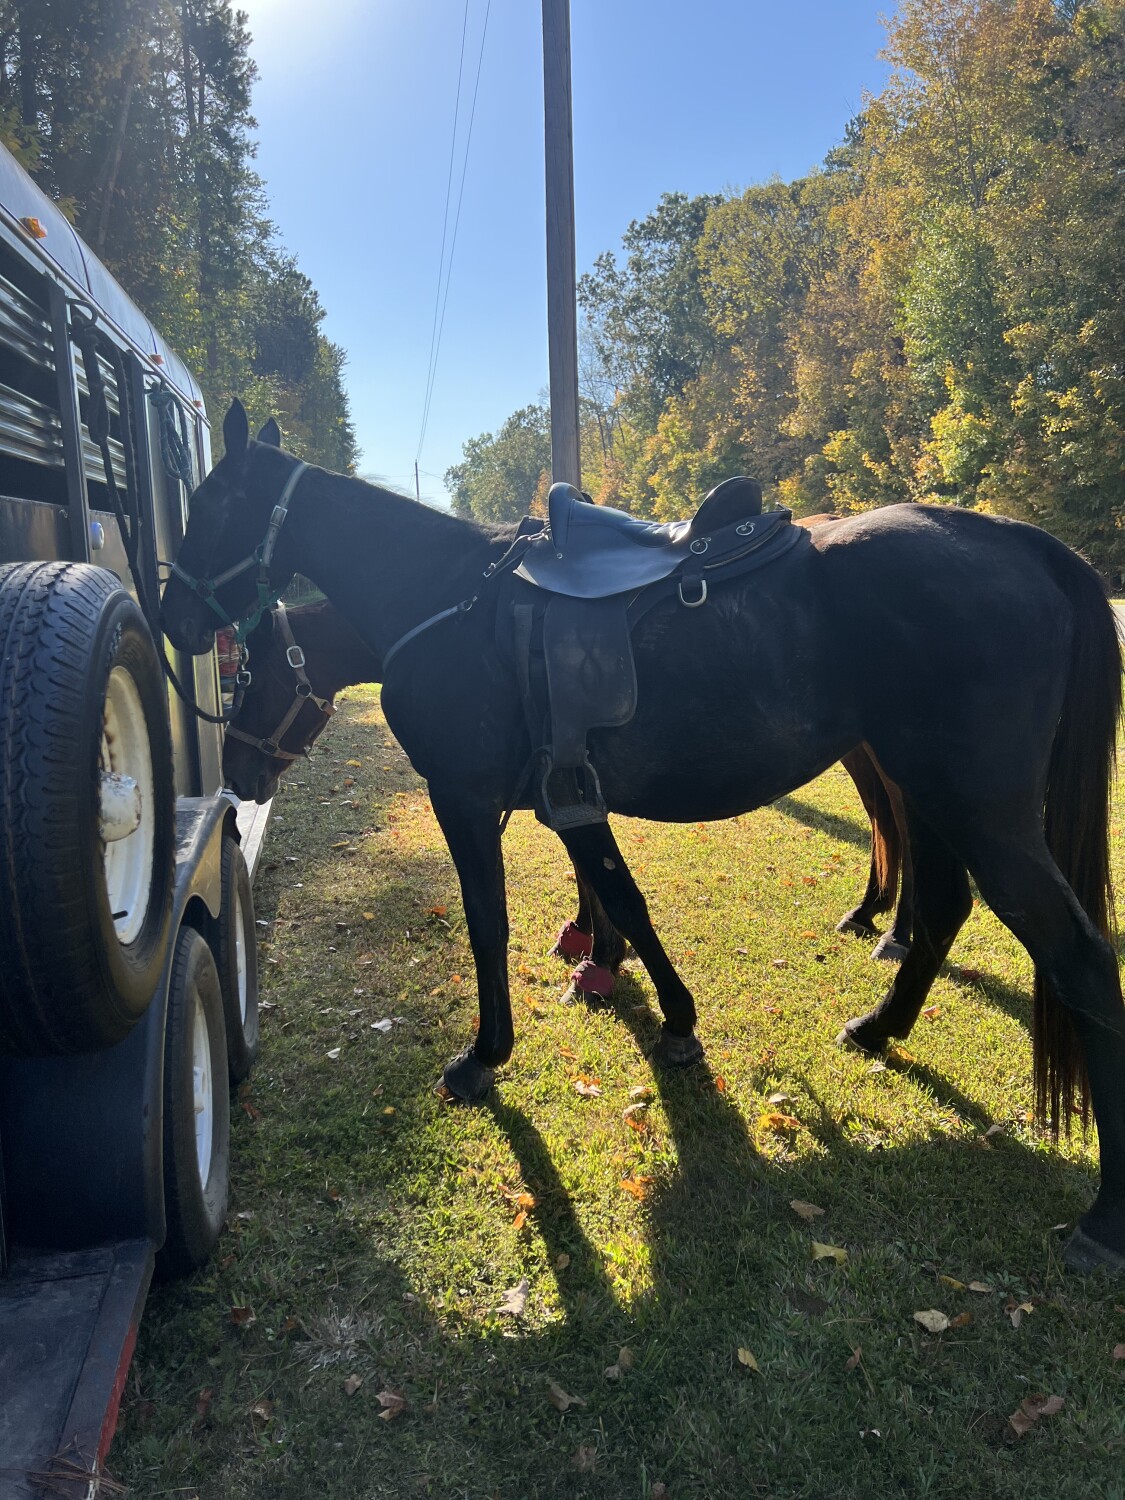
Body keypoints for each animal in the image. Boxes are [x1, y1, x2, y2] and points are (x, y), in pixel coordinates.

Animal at [221, 598, 913, 989]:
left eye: (252, 674)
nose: (234, 772)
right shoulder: (563, 786)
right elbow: (590, 873)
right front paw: (594, 945)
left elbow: (600, 877)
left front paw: (603, 960)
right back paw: (873, 912)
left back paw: (894, 933)